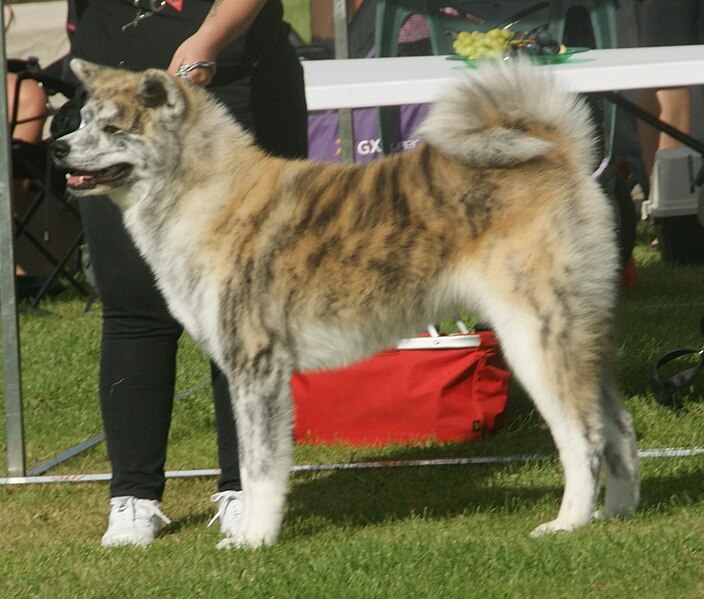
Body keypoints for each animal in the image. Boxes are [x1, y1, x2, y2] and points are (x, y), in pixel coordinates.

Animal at [53, 57, 640, 548]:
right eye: (82, 118)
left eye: (114, 128)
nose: (57, 147)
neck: (202, 193)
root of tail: (555, 153)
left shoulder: (256, 369)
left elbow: (260, 468)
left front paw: (253, 541)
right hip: (580, 333)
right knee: (620, 428)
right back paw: (617, 512)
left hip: (534, 338)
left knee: (583, 439)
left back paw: (567, 523)